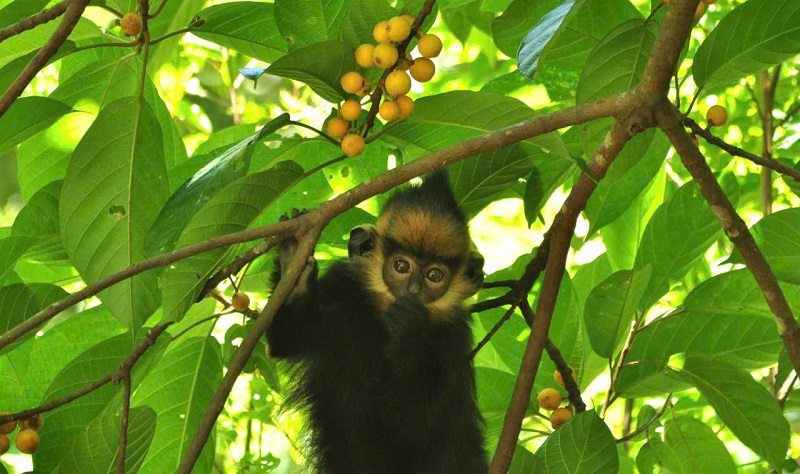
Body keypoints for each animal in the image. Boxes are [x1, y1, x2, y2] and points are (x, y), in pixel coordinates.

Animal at [268, 170, 488, 474]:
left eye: (434, 275)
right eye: (401, 266)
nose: (413, 291)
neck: (382, 320)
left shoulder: (455, 337)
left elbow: (416, 426)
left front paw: (410, 329)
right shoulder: (341, 283)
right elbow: (287, 337)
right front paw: (295, 272)